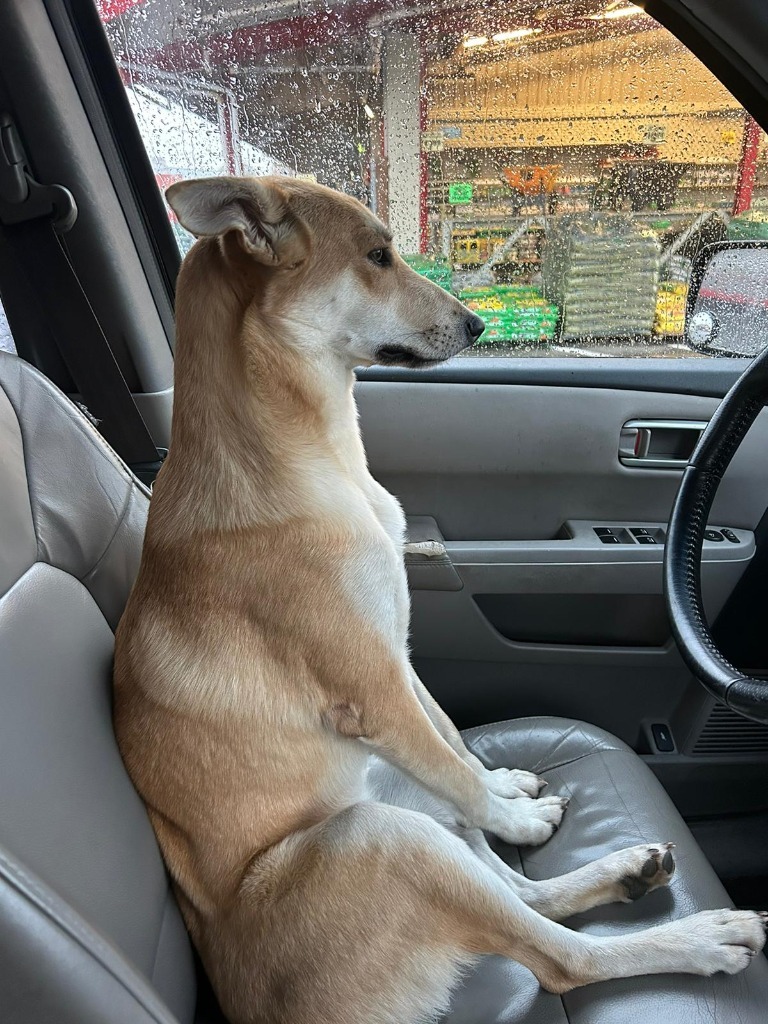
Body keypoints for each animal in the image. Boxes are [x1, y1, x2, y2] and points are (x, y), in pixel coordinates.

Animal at [114, 176, 768, 1024]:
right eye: (377, 255)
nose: (480, 323)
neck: (297, 455)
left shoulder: (400, 660)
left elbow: (455, 745)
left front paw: (504, 787)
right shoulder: (374, 690)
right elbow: (456, 772)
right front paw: (512, 810)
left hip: (391, 794)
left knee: (524, 891)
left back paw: (620, 872)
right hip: (382, 834)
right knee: (561, 957)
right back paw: (697, 936)